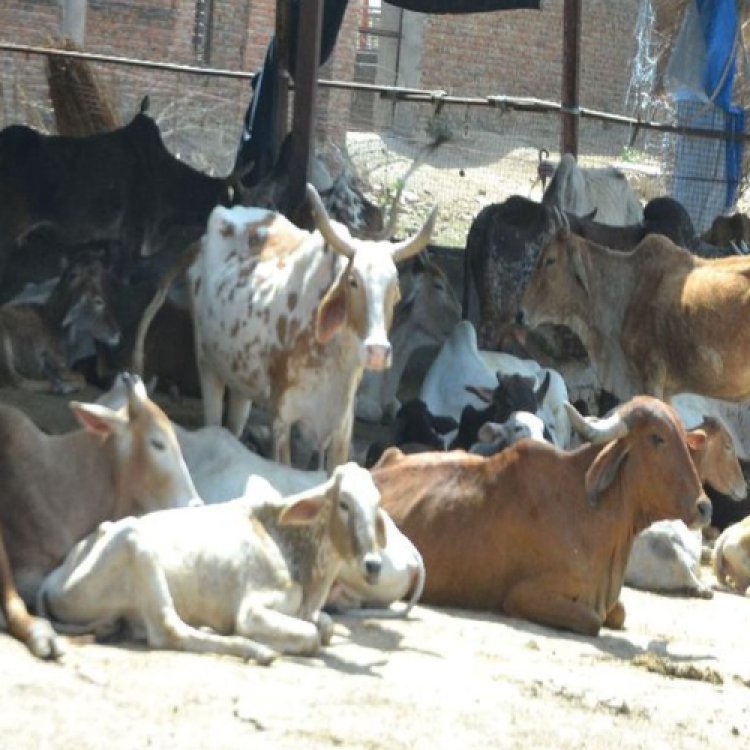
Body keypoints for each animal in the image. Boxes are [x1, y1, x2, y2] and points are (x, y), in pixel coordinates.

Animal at [374, 396, 712, 636]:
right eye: (657, 438)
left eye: (684, 439)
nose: (704, 507)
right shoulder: (523, 595)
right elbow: (592, 621)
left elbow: (618, 614)